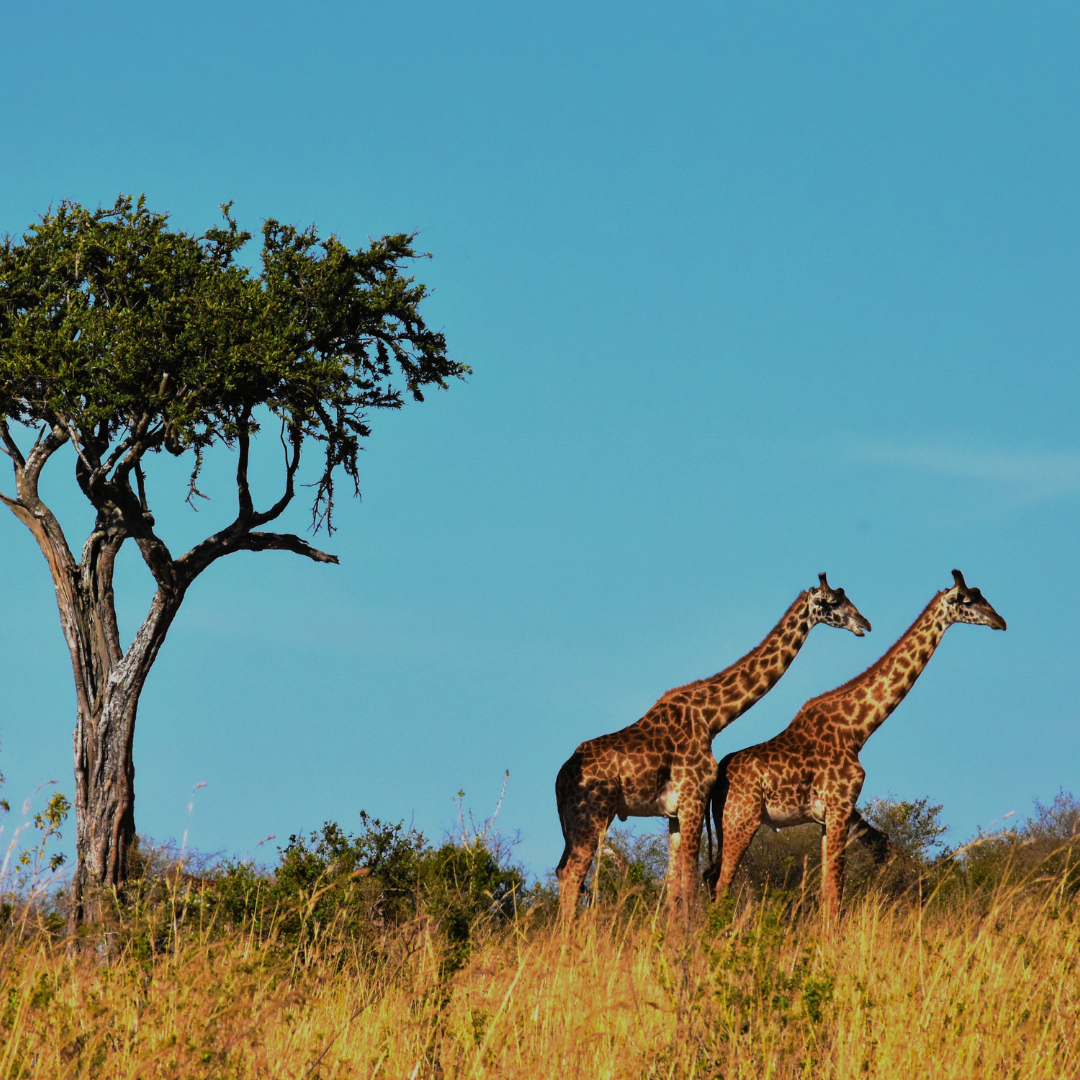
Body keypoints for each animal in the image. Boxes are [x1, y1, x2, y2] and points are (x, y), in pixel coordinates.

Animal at [552, 574, 872, 920]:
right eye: (833, 602)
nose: (865, 624)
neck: (711, 717)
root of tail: (560, 780)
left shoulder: (674, 811)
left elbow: (675, 883)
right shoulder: (693, 798)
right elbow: (690, 880)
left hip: (573, 822)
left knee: (562, 870)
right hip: (594, 814)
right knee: (573, 872)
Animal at [708, 570, 1002, 924]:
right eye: (968, 600)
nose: (1000, 621)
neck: (857, 729)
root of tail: (718, 778)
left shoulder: (829, 817)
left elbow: (828, 889)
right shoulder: (840, 807)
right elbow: (835, 891)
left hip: (724, 823)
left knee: (710, 877)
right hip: (742, 819)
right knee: (721, 882)